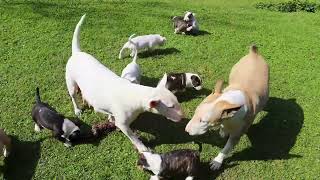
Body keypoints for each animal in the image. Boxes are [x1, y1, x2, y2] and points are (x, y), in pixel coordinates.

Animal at [66, 14, 184, 152]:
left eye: (177, 101)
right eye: (171, 107)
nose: (183, 117)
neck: (137, 95)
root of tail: (77, 53)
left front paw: (110, 117)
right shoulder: (123, 124)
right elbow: (133, 137)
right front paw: (143, 148)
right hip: (71, 83)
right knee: (73, 96)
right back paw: (77, 109)